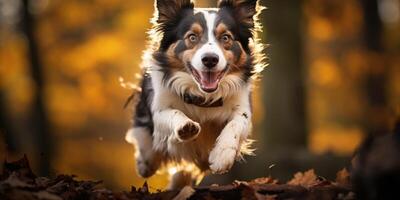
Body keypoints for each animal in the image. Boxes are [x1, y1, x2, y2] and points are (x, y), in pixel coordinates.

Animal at [126, 0, 266, 189]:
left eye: (225, 37)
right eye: (192, 37)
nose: (210, 59)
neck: (203, 97)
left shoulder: (242, 106)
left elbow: (236, 124)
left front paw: (222, 156)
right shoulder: (159, 106)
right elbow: (172, 113)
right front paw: (185, 127)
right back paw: (146, 164)